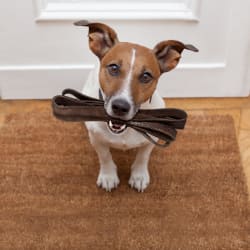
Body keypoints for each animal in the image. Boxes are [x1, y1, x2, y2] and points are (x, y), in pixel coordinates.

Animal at [74, 20, 197, 192]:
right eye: (113, 68)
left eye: (146, 76)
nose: (120, 106)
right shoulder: (97, 139)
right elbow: (105, 156)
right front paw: (108, 176)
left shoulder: (151, 139)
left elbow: (143, 157)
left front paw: (139, 176)